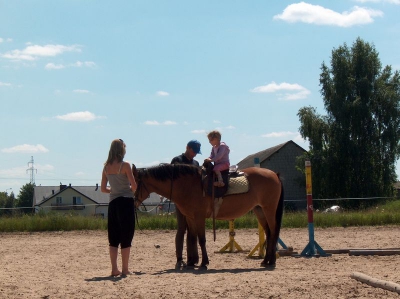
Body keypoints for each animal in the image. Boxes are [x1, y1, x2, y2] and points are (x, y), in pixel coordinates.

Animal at [134, 163, 284, 270]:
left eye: (136, 183)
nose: (134, 202)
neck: (188, 185)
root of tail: (274, 174)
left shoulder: (199, 217)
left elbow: (201, 239)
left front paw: (204, 263)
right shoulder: (190, 218)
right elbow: (192, 237)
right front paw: (191, 262)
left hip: (269, 209)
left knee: (273, 231)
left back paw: (271, 261)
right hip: (260, 210)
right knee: (269, 233)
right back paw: (265, 260)